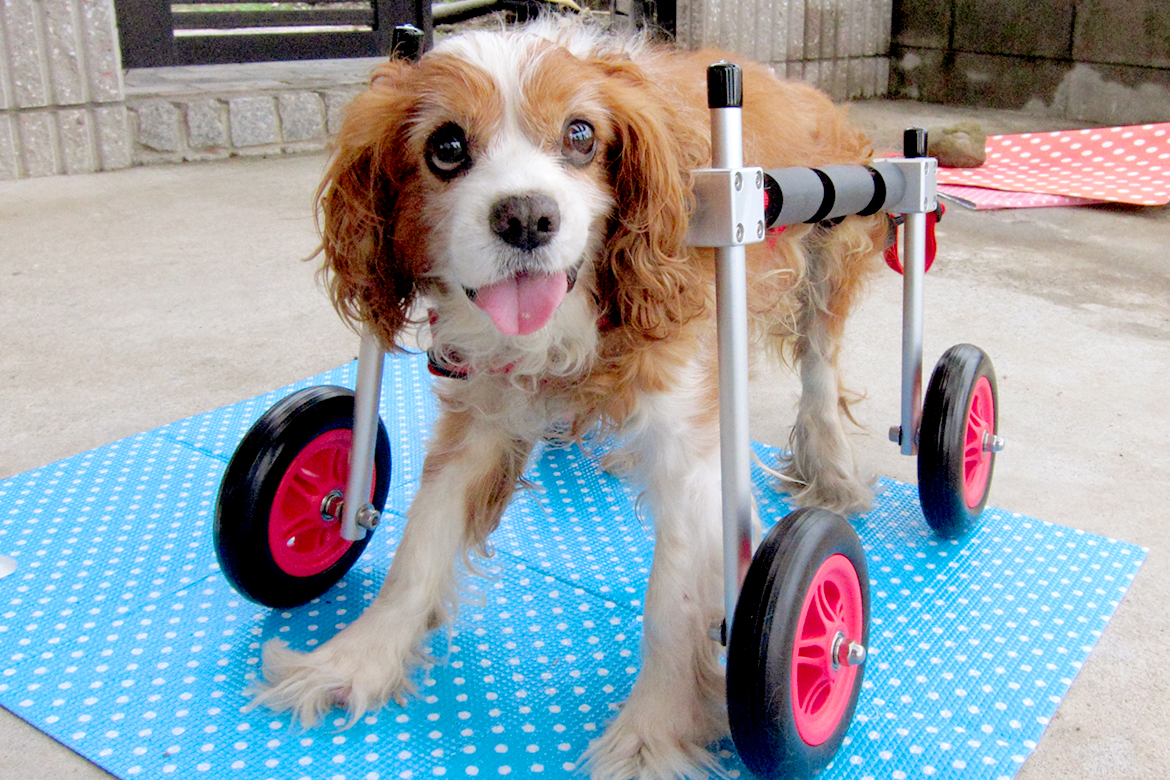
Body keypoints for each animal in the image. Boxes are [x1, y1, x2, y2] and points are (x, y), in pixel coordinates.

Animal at [249, 18, 884, 780]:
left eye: (581, 135)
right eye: (446, 147)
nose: (526, 217)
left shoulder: (688, 442)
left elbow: (673, 598)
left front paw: (651, 734)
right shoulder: (482, 411)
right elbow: (420, 541)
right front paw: (354, 658)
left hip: (829, 248)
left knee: (820, 366)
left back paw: (833, 472)